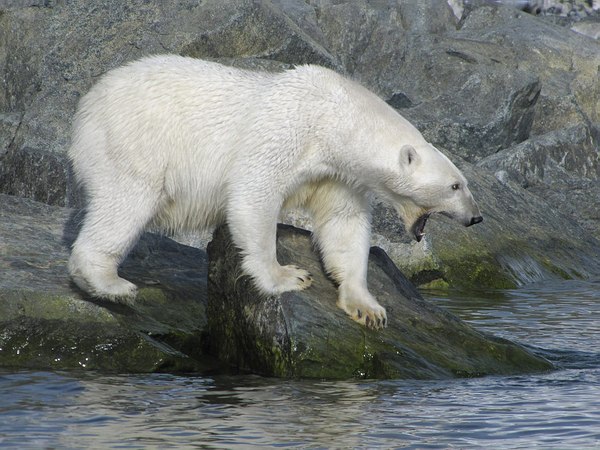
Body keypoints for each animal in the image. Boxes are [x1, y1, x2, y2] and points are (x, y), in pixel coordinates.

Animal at [68, 55, 482, 330]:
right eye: (455, 185)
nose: (476, 217)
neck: (334, 117)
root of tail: (85, 108)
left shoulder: (339, 176)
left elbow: (343, 225)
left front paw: (368, 307)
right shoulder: (286, 133)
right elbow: (253, 196)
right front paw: (288, 276)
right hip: (135, 142)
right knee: (126, 203)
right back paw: (111, 284)